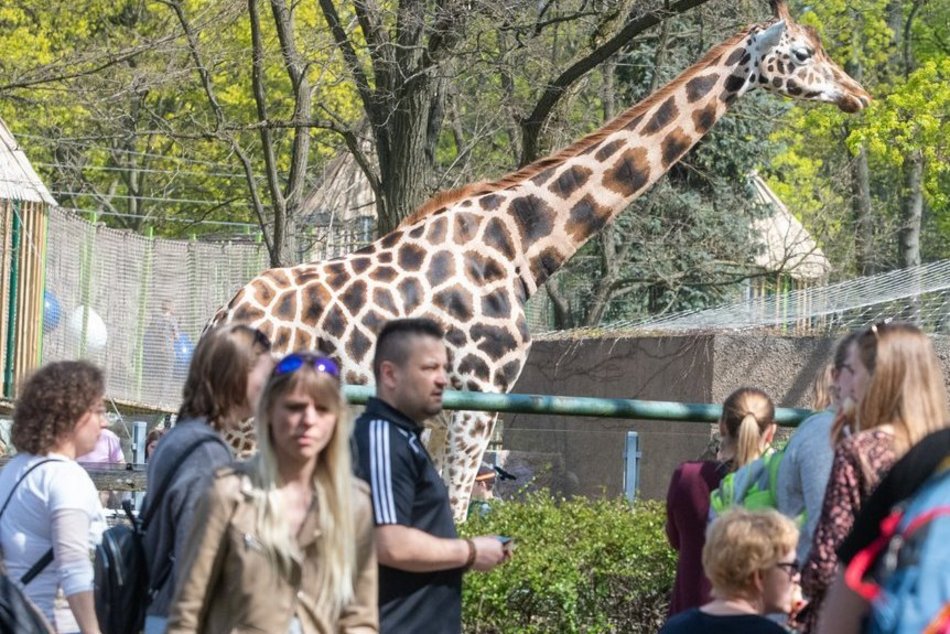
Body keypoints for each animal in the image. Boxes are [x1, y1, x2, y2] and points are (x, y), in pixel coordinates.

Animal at [214, 0, 872, 520]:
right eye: (802, 52)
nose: (858, 95)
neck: (519, 245)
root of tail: (221, 321)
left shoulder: (441, 414)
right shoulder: (475, 400)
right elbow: (456, 521)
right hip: (248, 429)